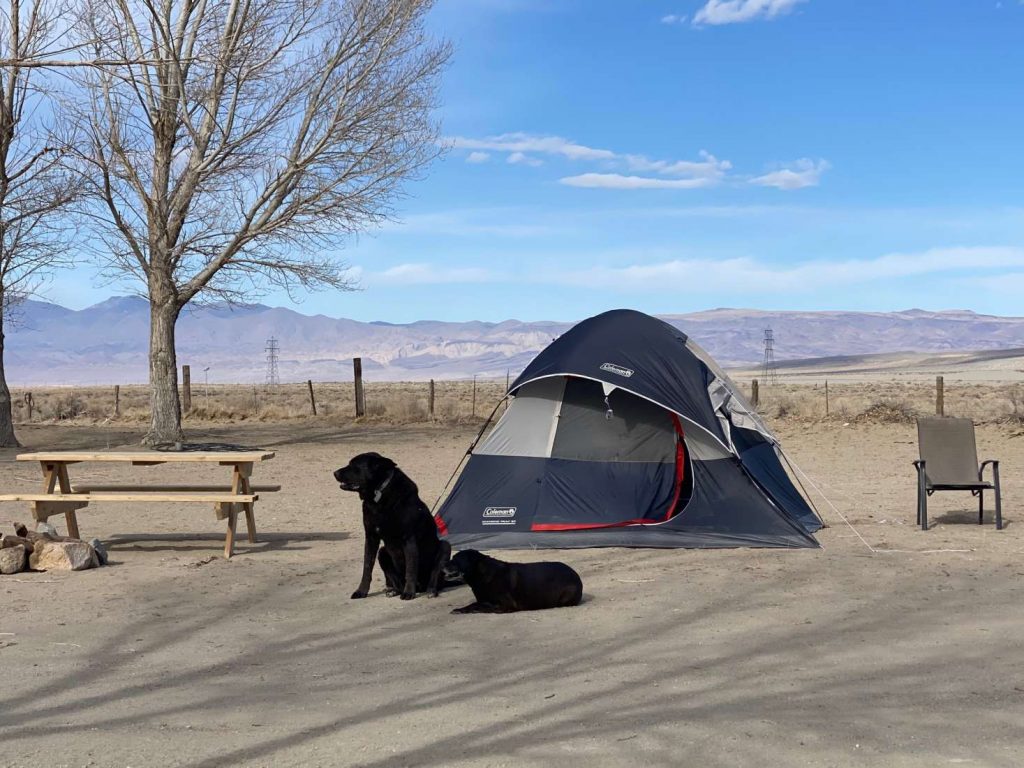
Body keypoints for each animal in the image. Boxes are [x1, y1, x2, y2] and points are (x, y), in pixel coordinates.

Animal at [333, 450, 450, 602]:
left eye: (354, 465)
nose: (334, 473)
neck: (378, 494)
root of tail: (421, 587)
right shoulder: (371, 538)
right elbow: (367, 568)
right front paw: (361, 591)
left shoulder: (409, 539)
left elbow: (411, 569)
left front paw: (409, 592)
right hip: (383, 552)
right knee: (395, 580)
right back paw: (393, 590)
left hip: (445, 546)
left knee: (435, 576)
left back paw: (430, 590)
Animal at [442, 548, 581, 618]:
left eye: (456, 559)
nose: (442, 565)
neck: (482, 574)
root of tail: (576, 575)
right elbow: (474, 604)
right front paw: (460, 609)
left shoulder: (506, 605)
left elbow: (482, 606)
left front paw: (475, 610)